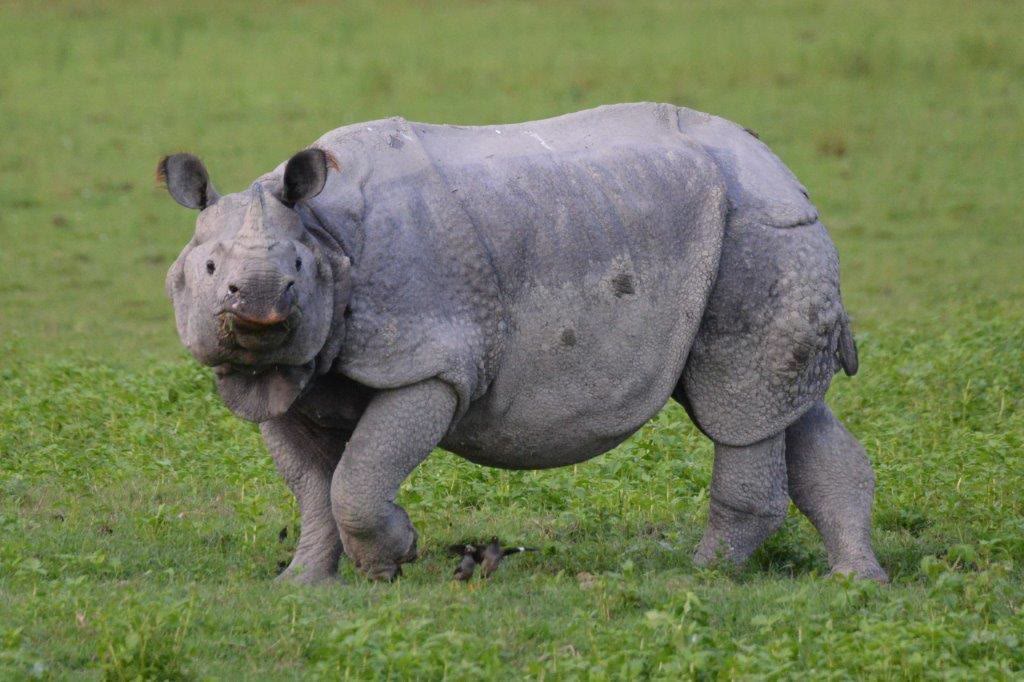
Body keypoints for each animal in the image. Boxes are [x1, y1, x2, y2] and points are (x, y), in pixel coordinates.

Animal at [159, 103, 886, 583]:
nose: (258, 310)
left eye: (297, 271)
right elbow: (312, 487)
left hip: (759, 229)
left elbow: (356, 479)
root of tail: (779, 165)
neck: (322, 230)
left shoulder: (433, 360)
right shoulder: (291, 371)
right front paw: (302, 584)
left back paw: (698, 577)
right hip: (757, 232)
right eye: (209, 269)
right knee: (781, 408)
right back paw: (855, 582)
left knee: (736, 407)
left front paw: (391, 561)